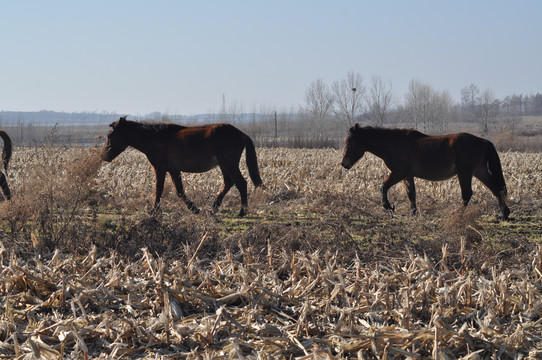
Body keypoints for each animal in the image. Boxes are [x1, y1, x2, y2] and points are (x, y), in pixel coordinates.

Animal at [103, 116, 264, 215]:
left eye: (110, 136)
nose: (104, 155)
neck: (156, 138)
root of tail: (241, 133)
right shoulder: (173, 170)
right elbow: (179, 191)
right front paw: (195, 209)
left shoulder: (160, 168)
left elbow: (159, 189)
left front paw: (154, 210)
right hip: (224, 165)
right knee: (229, 183)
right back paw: (213, 208)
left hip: (229, 164)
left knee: (241, 183)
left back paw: (242, 212)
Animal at [342, 124, 512, 219]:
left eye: (350, 142)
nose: (344, 164)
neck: (394, 144)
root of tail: (482, 141)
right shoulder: (407, 176)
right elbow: (411, 194)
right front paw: (413, 213)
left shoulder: (398, 173)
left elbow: (383, 187)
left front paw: (388, 207)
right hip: (479, 171)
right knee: (497, 190)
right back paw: (505, 214)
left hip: (465, 173)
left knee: (467, 193)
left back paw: (458, 214)